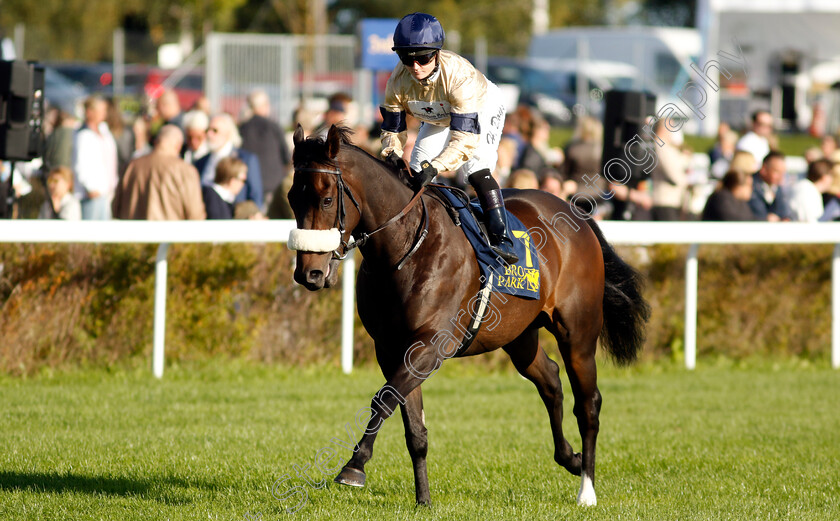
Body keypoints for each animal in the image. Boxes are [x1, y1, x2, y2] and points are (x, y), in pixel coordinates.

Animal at [288, 125, 648, 508]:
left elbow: (383, 400)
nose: (309, 273)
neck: (405, 248)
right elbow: (412, 424)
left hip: (577, 333)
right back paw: (571, 458)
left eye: (327, 200)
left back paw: (587, 489)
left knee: (588, 404)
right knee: (550, 380)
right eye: (293, 198)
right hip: (518, 335)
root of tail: (573, 211)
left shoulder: (431, 345)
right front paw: (423, 499)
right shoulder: (391, 349)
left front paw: (354, 466)